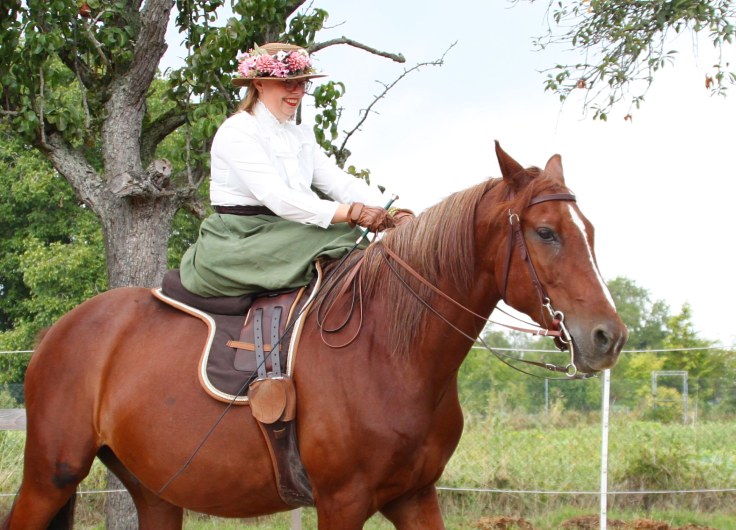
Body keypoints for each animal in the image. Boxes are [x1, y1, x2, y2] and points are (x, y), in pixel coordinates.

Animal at [3, 142, 627, 529]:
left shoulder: (414, 497)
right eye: (545, 232)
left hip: (155, 491)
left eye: (591, 231)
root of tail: (60, 334)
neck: (390, 350)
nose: (607, 336)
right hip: (51, 475)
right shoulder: (342, 502)